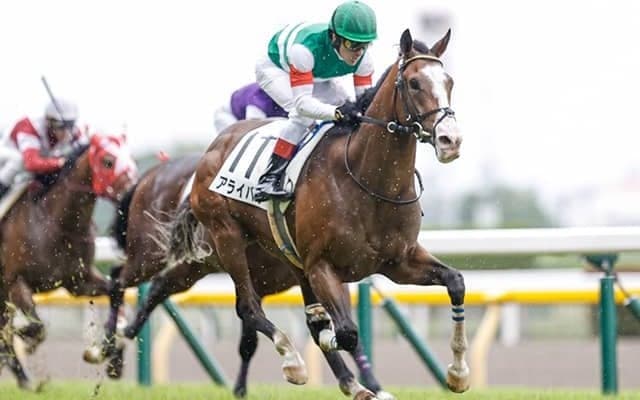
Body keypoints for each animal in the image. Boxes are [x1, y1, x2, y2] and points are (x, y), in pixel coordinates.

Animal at [0, 133, 137, 390]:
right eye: (107, 161)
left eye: (130, 157)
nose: (133, 190)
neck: (55, 224)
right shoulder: (15, 282)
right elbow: (37, 327)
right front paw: (28, 338)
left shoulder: (77, 281)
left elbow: (114, 290)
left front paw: (112, 357)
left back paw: (24, 380)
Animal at [86, 153, 393, 399]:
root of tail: (151, 174)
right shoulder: (279, 275)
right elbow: (255, 335)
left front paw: (370, 386)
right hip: (151, 253)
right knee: (118, 280)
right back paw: (105, 347)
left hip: (191, 268)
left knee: (156, 289)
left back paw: (117, 350)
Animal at [160, 28, 470, 399]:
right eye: (413, 83)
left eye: (449, 81)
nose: (450, 140)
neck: (369, 181)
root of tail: (214, 146)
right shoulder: (322, 265)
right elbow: (345, 332)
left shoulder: (399, 261)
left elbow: (456, 282)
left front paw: (458, 373)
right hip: (228, 236)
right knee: (248, 307)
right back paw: (293, 361)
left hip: (290, 257)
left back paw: (352, 383)